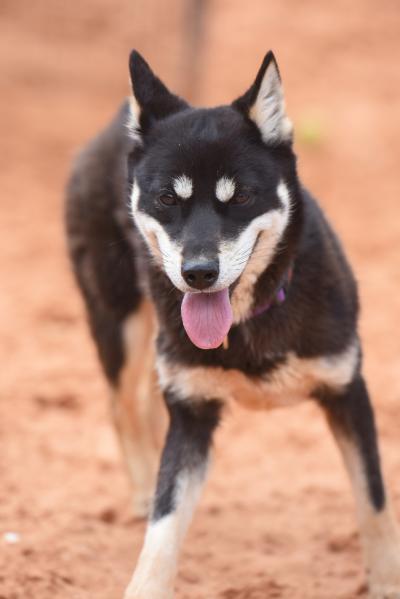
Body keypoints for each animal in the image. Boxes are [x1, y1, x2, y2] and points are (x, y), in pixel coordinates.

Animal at [65, 51, 400, 599]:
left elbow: (373, 499)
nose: (198, 273)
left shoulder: (347, 390)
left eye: (240, 197)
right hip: (118, 319)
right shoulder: (191, 411)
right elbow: (162, 529)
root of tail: (116, 126)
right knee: (122, 407)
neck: (251, 316)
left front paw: (386, 579)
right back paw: (140, 490)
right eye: (167, 199)